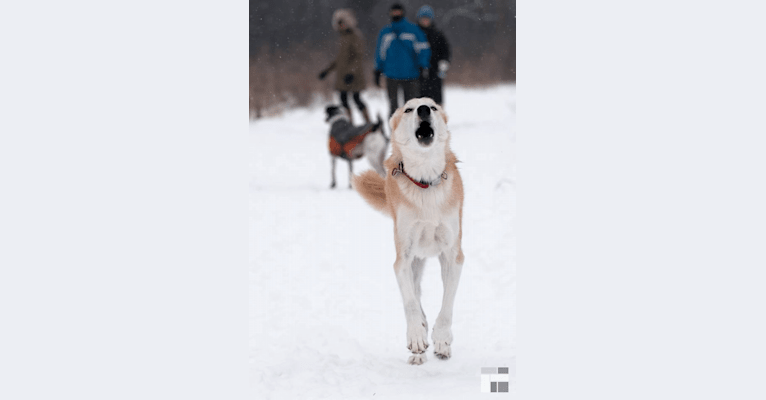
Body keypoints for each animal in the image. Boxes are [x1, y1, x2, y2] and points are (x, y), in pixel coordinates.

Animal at [352, 97, 464, 366]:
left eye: (433, 107)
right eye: (408, 109)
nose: (423, 110)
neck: (425, 183)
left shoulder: (453, 256)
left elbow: (447, 304)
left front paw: (442, 339)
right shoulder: (403, 258)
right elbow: (411, 302)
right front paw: (416, 336)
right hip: (414, 260)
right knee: (415, 293)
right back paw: (419, 344)